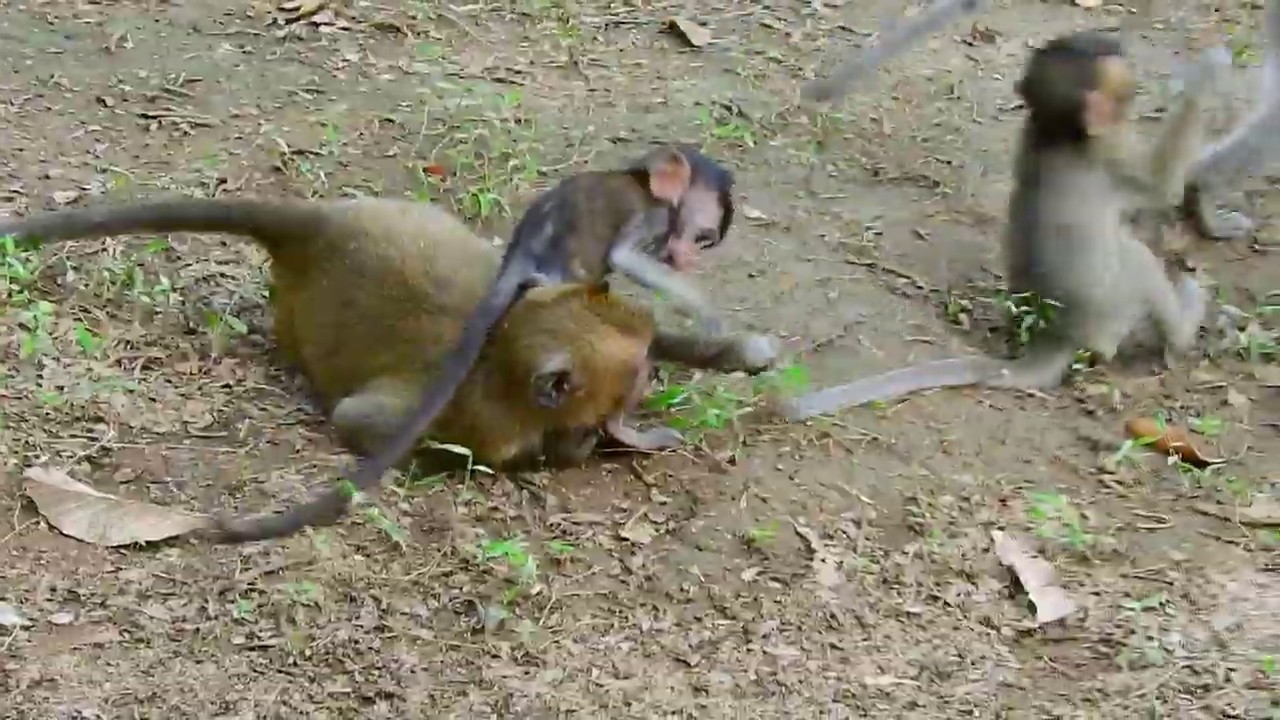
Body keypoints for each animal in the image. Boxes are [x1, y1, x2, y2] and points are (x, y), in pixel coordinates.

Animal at [0, 196, 778, 541]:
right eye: (636, 378)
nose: (649, 382)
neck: (504, 352)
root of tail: (320, 226)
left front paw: (722, 352)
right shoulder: (470, 410)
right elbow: (372, 425)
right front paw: (573, 448)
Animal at [772, 31, 1231, 422]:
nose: (1119, 44)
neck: (1055, 132)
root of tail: (1052, 334)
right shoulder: (1113, 149)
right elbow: (1164, 185)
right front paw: (1207, 75)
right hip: (1113, 313)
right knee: (1137, 259)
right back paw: (1184, 325)